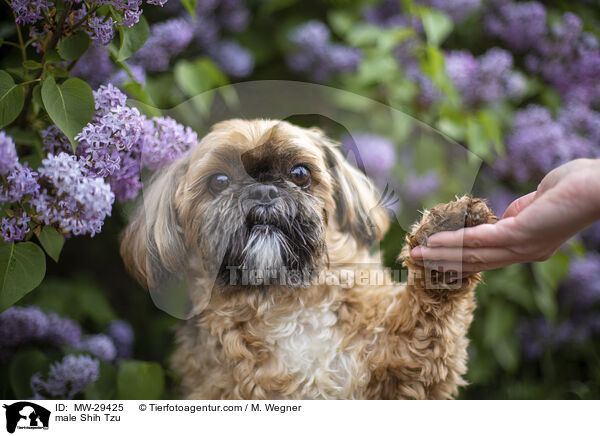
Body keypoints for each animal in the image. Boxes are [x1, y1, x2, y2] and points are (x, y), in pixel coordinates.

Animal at [120, 118, 496, 398]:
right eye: (219, 181)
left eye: (299, 174)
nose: (263, 190)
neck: (285, 301)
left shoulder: (404, 372)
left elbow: (427, 329)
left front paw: (446, 239)